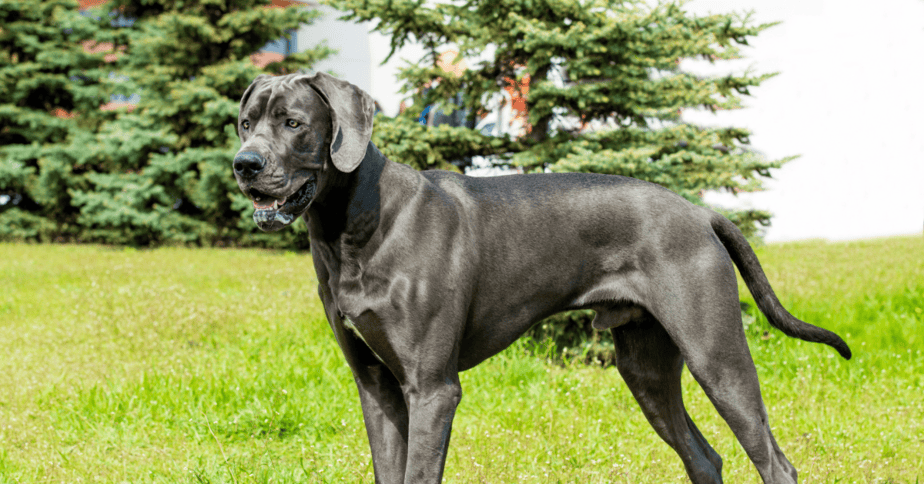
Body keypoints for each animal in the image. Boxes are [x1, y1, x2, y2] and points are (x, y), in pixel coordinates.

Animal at [233, 73, 852, 484]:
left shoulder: (432, 389)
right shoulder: (376, 387)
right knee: (704, 456)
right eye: (245, 123)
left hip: (717, 356)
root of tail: (700, 211)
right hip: (646, 368)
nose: (244, 164)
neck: (353, 227)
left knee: (775, 462)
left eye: (293, 123)